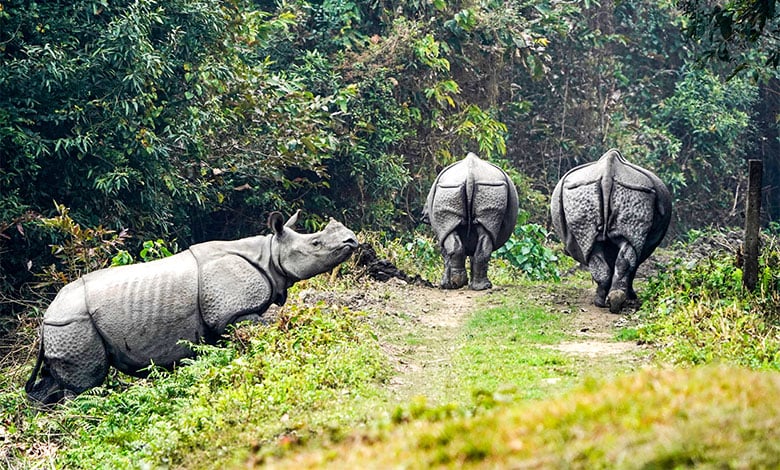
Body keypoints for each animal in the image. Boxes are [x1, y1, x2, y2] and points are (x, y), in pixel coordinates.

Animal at [26, 211, 358, 404]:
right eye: (315, 244)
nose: (352, 241)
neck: (269, 254)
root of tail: (46, 317)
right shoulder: (233, 313)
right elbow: (264, 329)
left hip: (65, 326)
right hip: (73, 324)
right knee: (85, 384)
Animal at [423, 152, 519, 290]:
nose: (423, 216)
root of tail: (470, 174)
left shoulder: (441, 230)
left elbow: (445, 254)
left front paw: (445, 285)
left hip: (455, 189)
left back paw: (462, 284)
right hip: (482, 189)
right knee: (485, 235)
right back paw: (479, 286)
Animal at [550, 149, 672, 313]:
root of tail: (608, 172)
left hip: (605, 190)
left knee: (597, 249)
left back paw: (604, 301)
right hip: (627, 190)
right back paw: (612, 301)